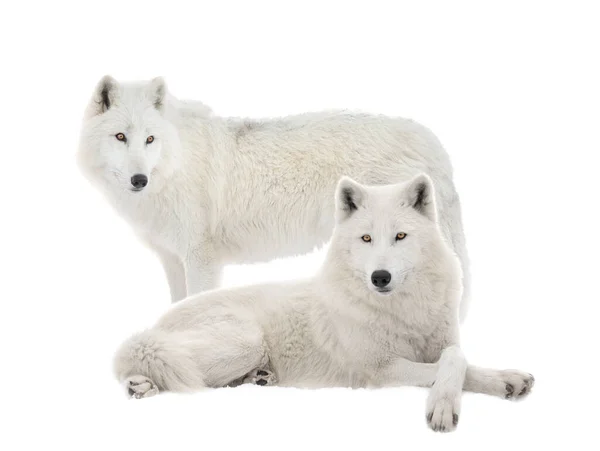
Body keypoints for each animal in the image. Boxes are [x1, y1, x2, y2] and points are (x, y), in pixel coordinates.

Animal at [77, 76, 468, 318]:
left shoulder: (201, 259)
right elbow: (176, 303)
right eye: (120, 137)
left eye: (149, 139)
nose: (139, 179)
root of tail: (429, 139)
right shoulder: (173, 259)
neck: (176, 163)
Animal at [113, 175, 536, 432]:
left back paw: (253, 379)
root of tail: (159, 320)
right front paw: (443, 408)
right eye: (366, 238)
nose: (379, 277)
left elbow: (459, 359)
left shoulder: (441, 343)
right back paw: (142, 385)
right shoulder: (380, 370)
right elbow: (446, 366)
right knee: (168, 366)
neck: (404, 310)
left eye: (400, 236)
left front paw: (507, 380)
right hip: (242, 341)